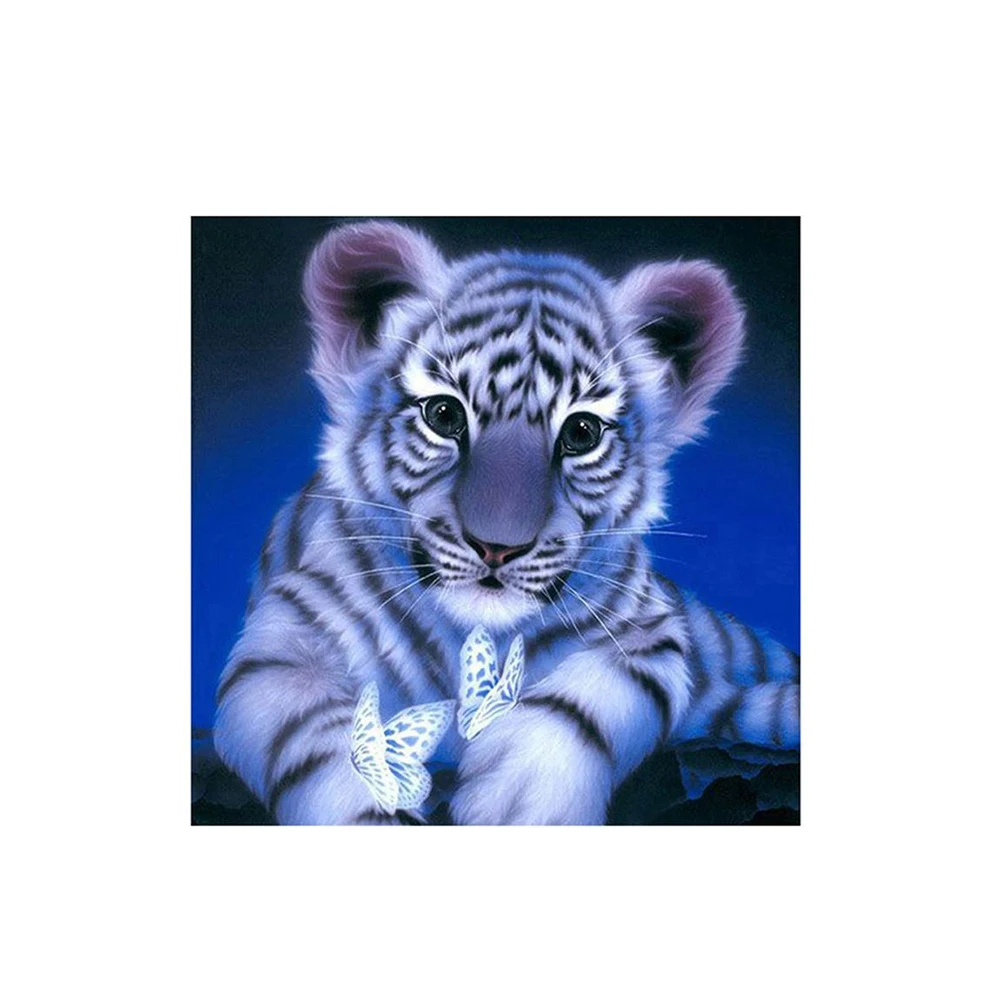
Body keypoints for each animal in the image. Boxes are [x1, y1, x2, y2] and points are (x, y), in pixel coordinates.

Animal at [212, 219, 800, 825]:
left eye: (582, 432)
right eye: (443, 414)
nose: (497, 547)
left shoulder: (651, 631)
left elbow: (587, 699)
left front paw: (521, 797)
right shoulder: (282, 642)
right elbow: (324, 741)